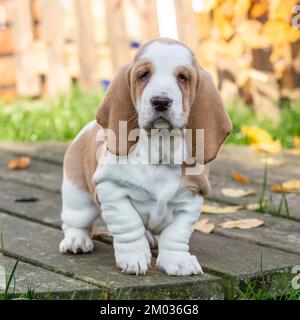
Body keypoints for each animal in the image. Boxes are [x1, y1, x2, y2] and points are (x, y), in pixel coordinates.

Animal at [59, 38, 232, 276]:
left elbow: (176, 235)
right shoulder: (113, 191)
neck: (159, 152)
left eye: (183, 78)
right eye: (143, 75)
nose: (160, 101)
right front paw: (134, 257)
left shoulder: (190, 200)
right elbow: (129, 225)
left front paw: (178, 261)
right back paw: (76, 240)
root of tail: (88, 127)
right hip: (77, 196)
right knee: (75, 222)